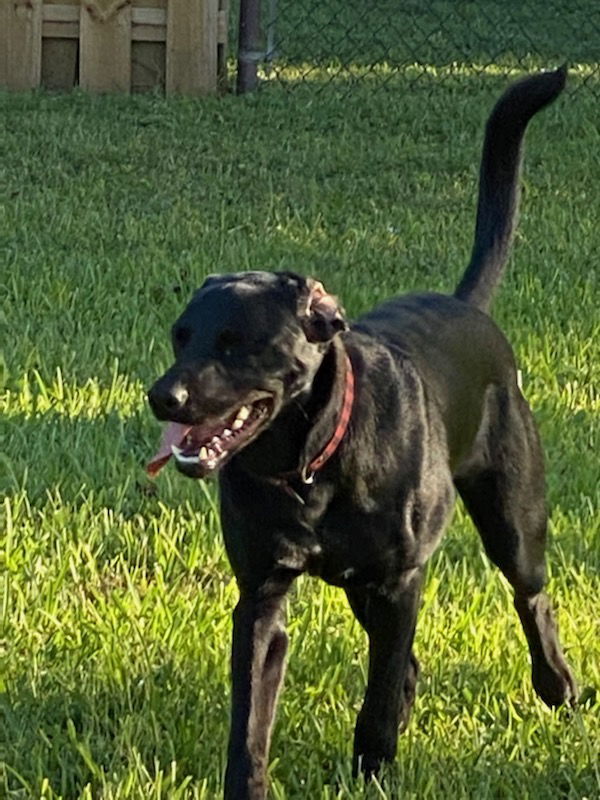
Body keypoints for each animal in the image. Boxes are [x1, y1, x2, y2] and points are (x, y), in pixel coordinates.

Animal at [146, 70, 576, 800]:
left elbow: (376, 696)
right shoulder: (260, 596)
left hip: (513, 519)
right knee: (404, 658)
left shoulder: (401, 580)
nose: (161, 397)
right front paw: (248, 785)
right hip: (357, 582)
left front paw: (373, 767)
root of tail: (464, 307)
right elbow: (251, 717)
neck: (309, 465)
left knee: (529, 594)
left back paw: (557, 685)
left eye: (236, 344)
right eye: (183, 336)